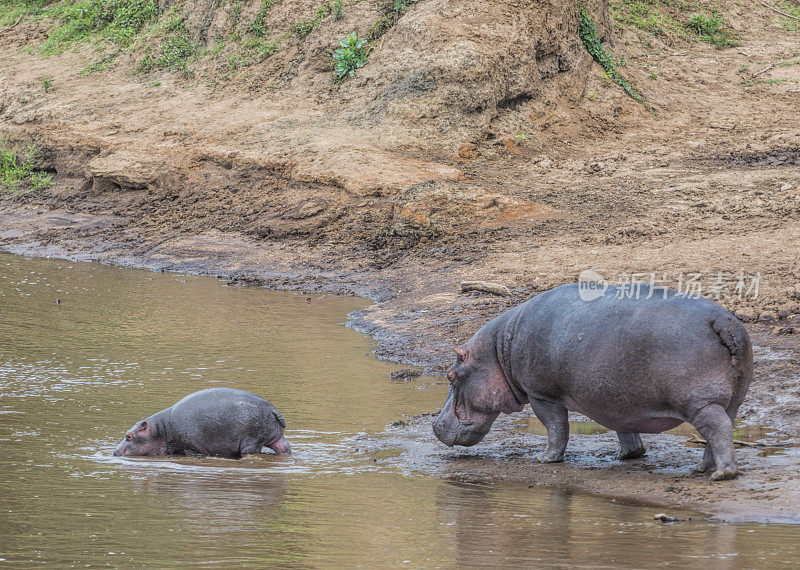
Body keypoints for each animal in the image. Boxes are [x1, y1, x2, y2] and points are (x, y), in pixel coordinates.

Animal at [111, 386, 290, 458]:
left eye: (128, 436)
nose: (114, 452)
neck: (161, 430)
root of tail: (271, 407)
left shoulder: (191, 448)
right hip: (276, 438)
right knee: (285, 448)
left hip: (251, 443)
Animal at [434, 282, 752, 478]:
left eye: (451, 376)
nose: (435, 424)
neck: (499, 350)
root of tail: (723, 320)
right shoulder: (619, 400)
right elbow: (625, 430)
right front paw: (629, 455)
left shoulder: (540, 393)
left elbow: (556, 428)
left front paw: (544, 459)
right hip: (731, 400)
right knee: (721, 428)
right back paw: (702, 470)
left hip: (699, 402)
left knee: (717, 429)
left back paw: (722, 474)